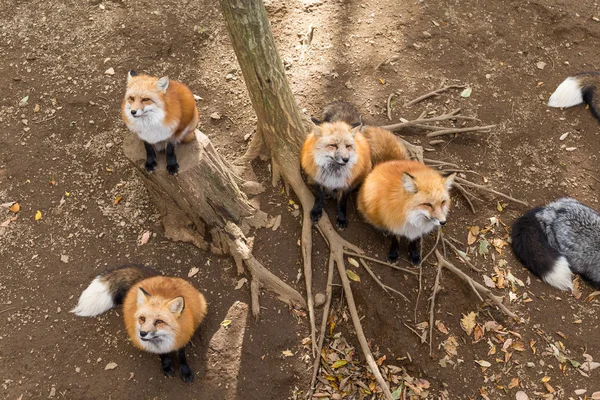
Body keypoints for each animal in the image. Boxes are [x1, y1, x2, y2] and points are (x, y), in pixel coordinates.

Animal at [69, 264, 206, 382]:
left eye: (159, 321)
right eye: (142, 318)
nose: (142, 333)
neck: (164, 341)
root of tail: (150, 278)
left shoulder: (182, 337)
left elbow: (182, 357)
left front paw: (186, 372)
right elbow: (163, 356)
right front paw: (166, 366)